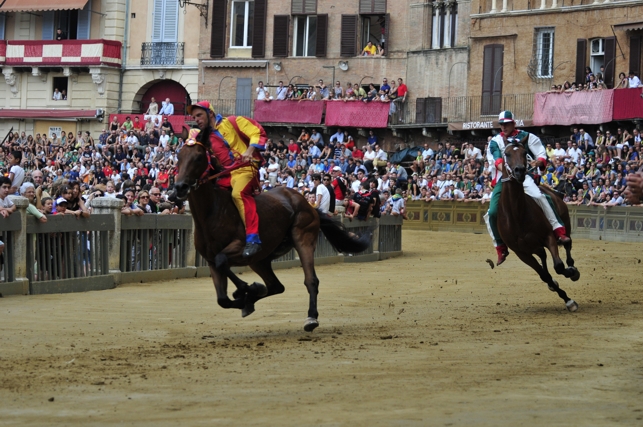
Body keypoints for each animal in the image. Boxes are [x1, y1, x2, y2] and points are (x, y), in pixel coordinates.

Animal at [174, 129, 370, 332]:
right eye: (179, 156)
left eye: (198, 157)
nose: (180, 187)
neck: (212, 212)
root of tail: (307, 204)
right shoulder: (211, 259)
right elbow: (222, 298)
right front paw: (247, 295)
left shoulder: (241, 246)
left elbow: (223, 262)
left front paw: (246, 289)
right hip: (260, 259)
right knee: (276, 286)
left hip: (303, 237)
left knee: (311, 280)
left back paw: (311, 317)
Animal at [500, 142, 580, 312]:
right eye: (507, 154)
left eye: (524, 153)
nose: (520, 171)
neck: (517, 215)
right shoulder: (521, 253)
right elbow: (545, 275)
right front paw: (566, 298)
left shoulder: (548, 236)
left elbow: (558, 266)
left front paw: (570, 272)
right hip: (534, 246)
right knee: (543, 257)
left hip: (564, 224)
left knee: (567, 243)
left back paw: (572, 267)